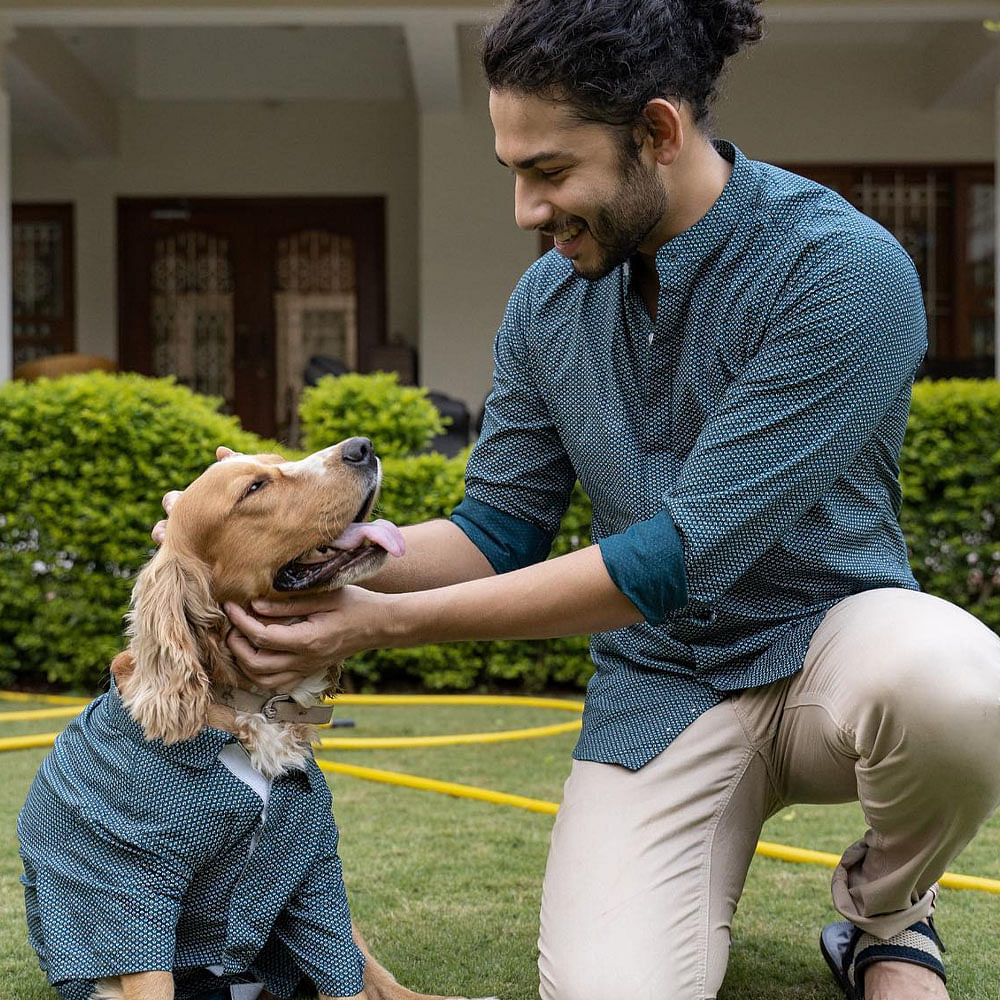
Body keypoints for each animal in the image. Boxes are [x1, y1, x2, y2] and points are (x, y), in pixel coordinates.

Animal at [18, 442, 492, 1000]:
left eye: (279, 461)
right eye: (254, 488)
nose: (362, 447)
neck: (248, 707)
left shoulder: (312, 862)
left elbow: (344, 971)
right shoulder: (127, 880)